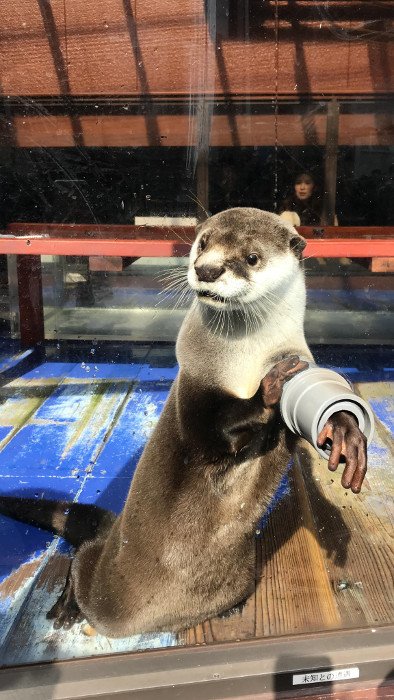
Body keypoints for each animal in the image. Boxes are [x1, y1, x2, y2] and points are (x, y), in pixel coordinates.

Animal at [0, 205, 366, 636]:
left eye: (251, 257)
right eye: (203, 242)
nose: (206, 269)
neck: (244, 361)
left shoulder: (296, 354)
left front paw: (345, 432)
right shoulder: (192, 383)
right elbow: (209, 429)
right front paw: (269, 390)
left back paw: (228, 609)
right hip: (100, 585)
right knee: (80, 559)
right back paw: (66, 607)